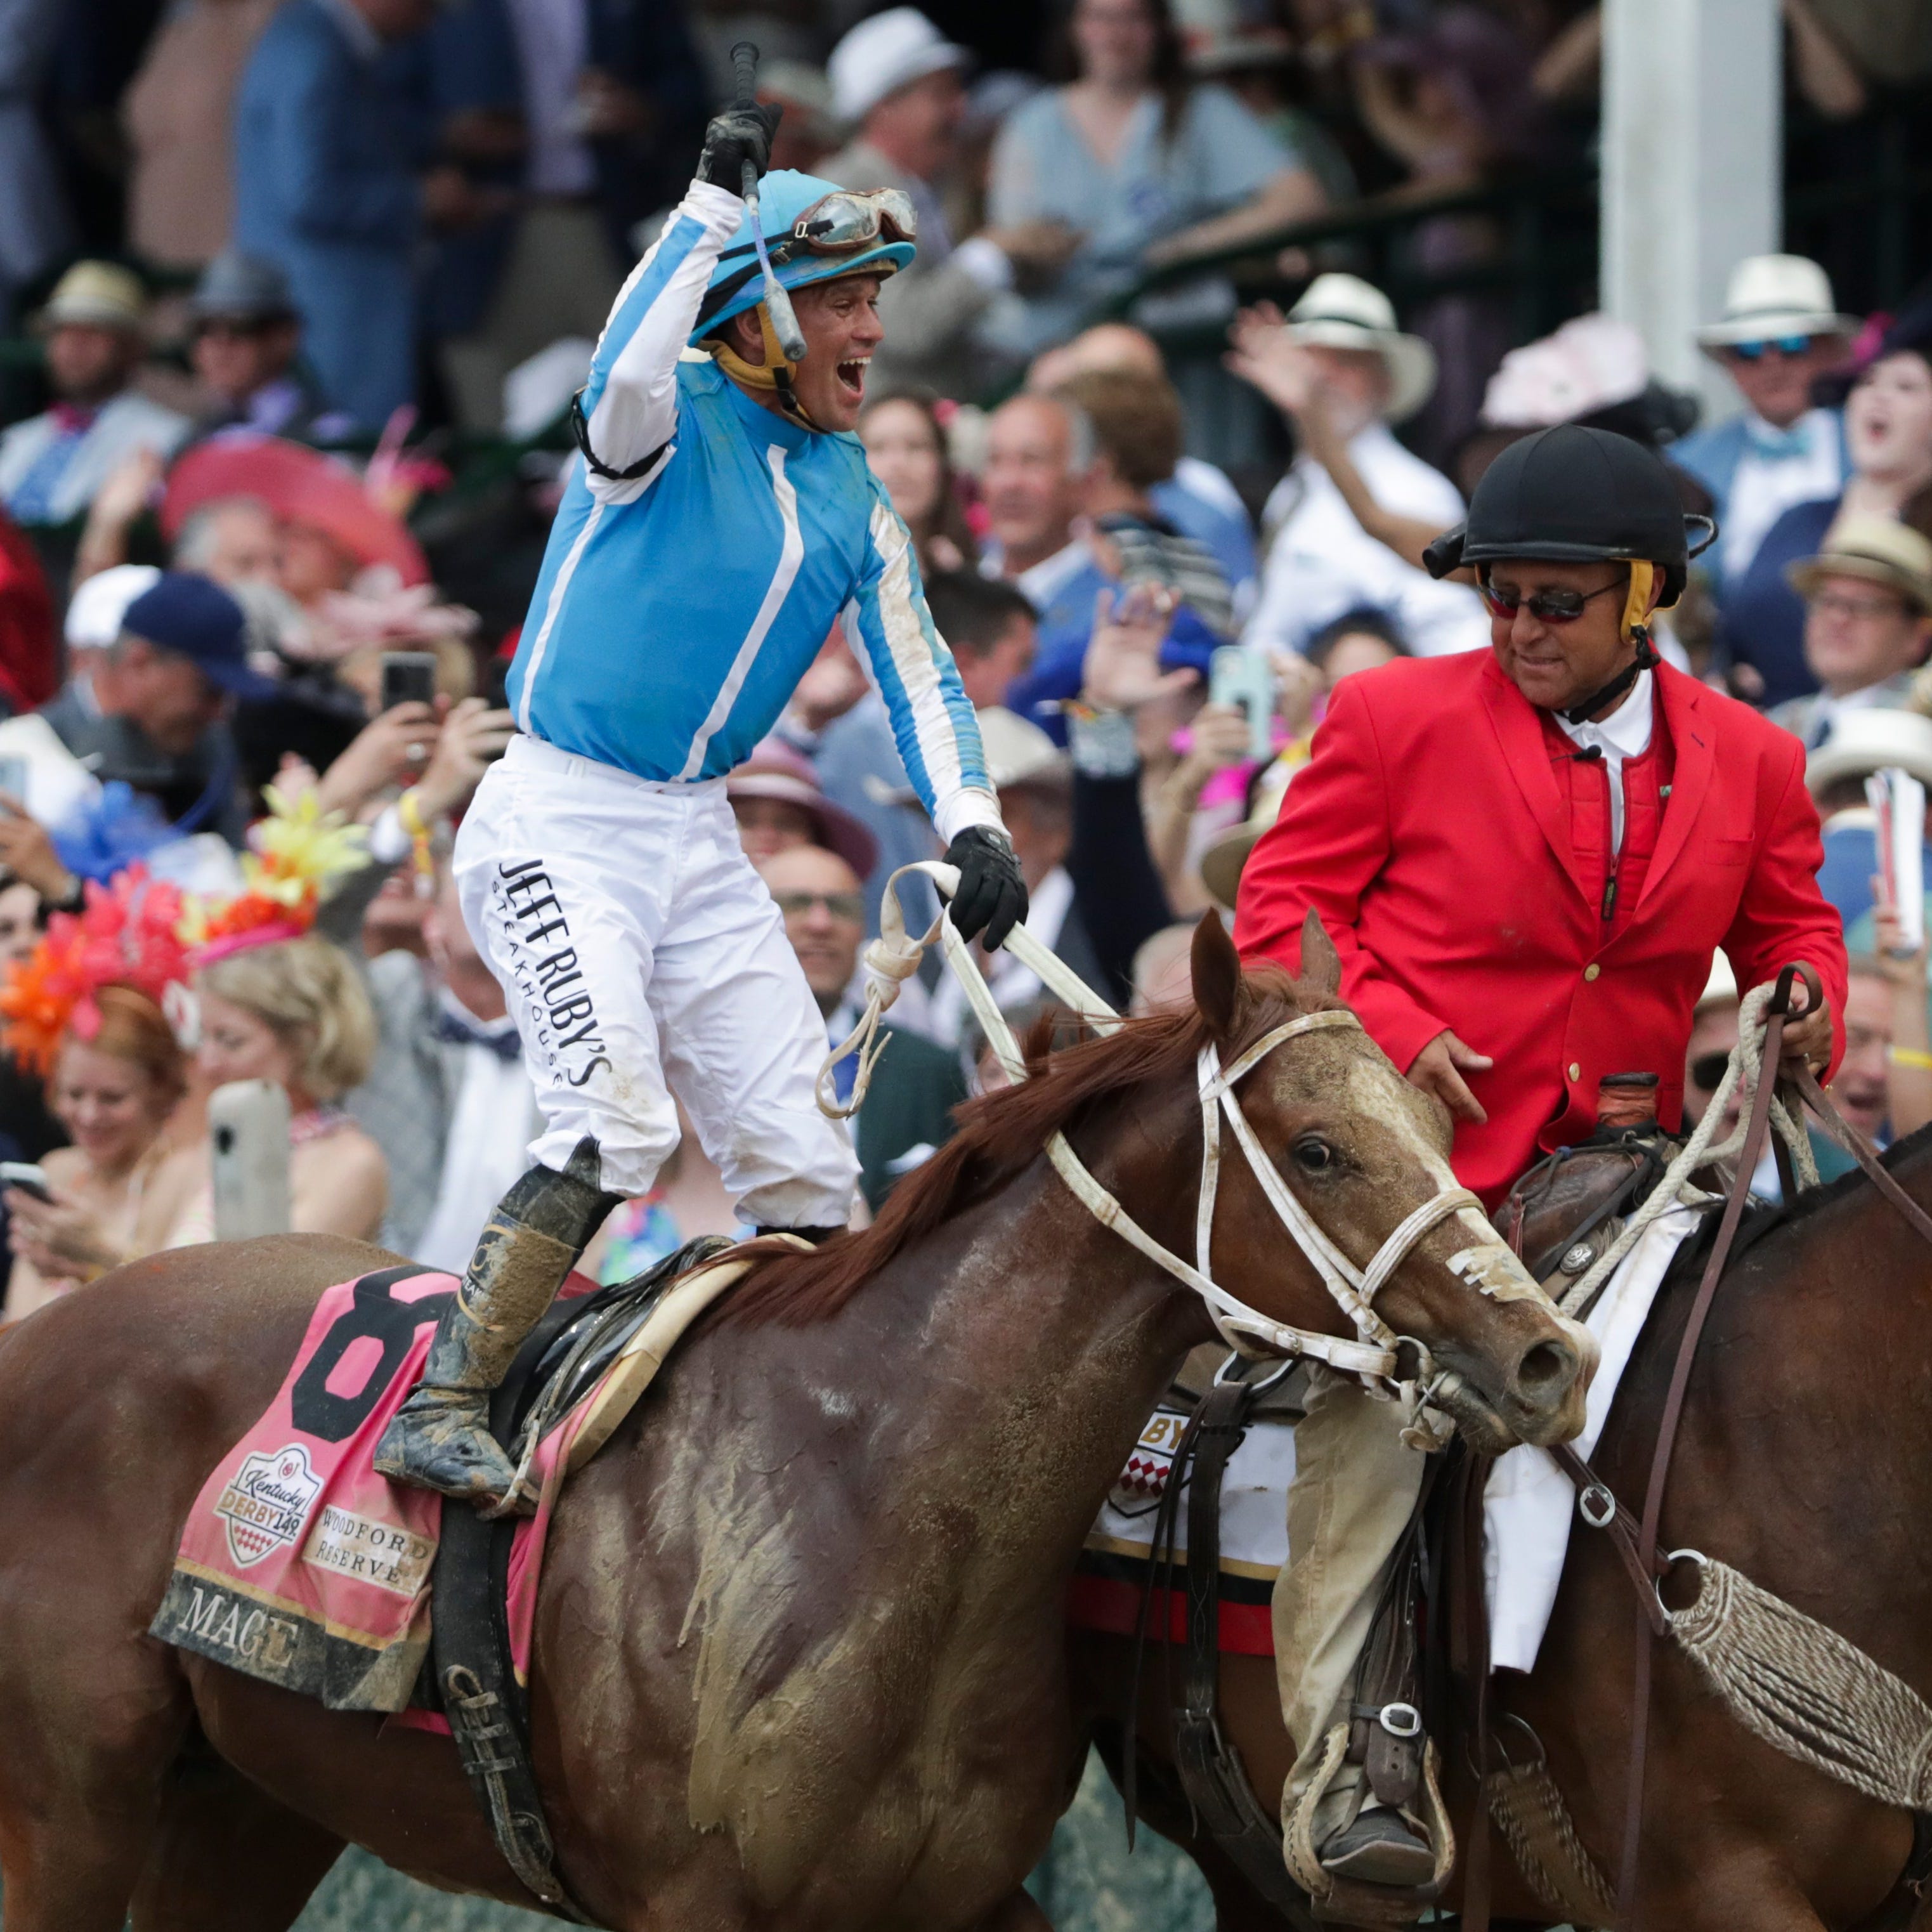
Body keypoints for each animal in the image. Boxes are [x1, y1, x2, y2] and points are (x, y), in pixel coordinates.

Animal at [0, 919, 1584, 1932]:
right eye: (1317, 1149)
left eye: (1438, 1131)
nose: (1544, 1353)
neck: (876, 1495)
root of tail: (39, 1333)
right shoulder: (694, 1904)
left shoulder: (960, 1899)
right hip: (71, 1809)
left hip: (244, 1802)